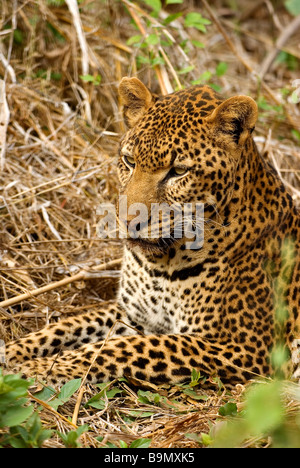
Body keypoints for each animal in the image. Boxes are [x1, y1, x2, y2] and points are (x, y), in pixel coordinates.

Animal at [4, 77, 300, 388]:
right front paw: (14, 350)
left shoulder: (246, 347)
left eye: (179, 171)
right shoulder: (132, 312)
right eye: (129, 161)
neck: (163, 262)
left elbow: (123, 348)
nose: (128, 222)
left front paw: (42, 367)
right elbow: (69, 325)